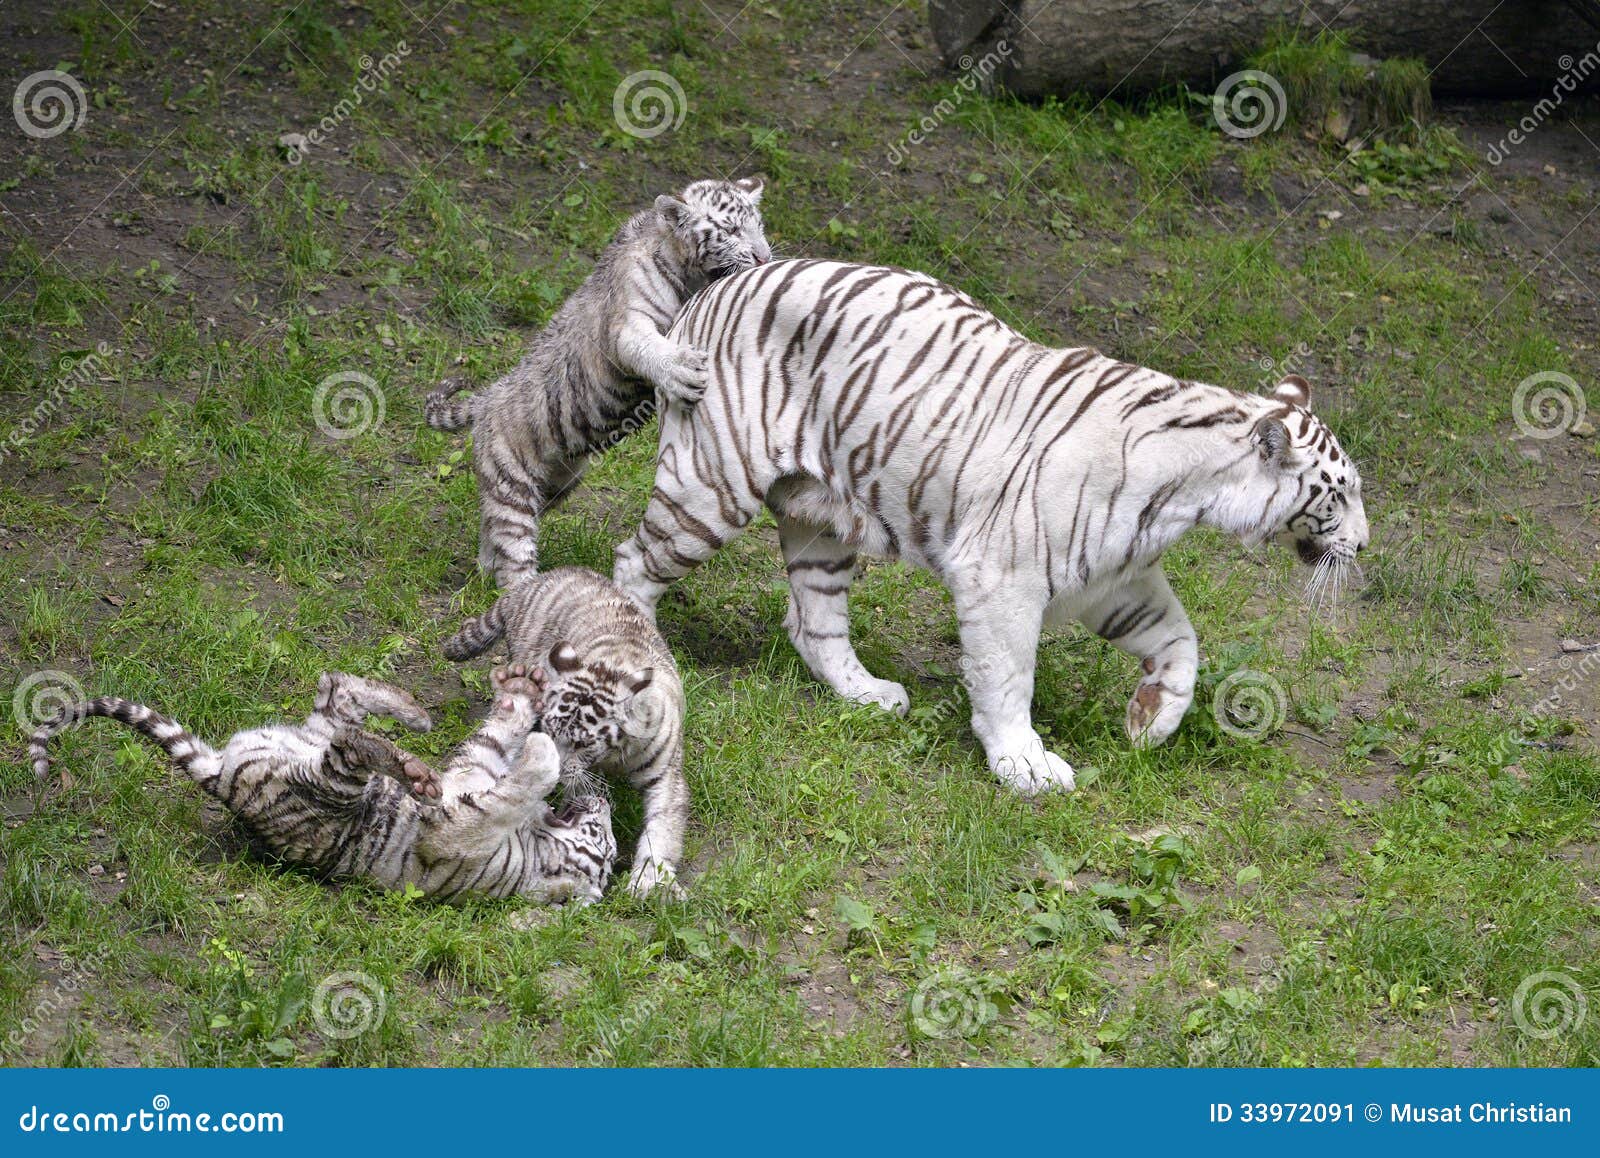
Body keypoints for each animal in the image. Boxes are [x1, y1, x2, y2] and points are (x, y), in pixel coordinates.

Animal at [28, 666, 616, 904]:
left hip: (328, 783)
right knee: (340, 690)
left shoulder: (452, 834)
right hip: (318, 741)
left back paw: (412, 764)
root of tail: (222, 778)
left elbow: (517, 781)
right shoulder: (476, 775)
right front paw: (526, 697)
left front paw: (544, 752)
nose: (600, 799)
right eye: (606, 833)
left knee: (351, 737)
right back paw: (414, 715)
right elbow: (497, 740)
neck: (534, 841)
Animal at [426, 176, 772, 588]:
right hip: (513, 484)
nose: (765, 258)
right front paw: (682, 371)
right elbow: (650, 349)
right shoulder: (628, 326)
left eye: (759, 227)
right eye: (732, 231)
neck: (690, 271)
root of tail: (487, 397)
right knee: (512, 548)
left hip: (560, 480)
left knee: (490, 525)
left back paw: (484, 568)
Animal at [442, 566, 687, 899]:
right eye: (549, 730)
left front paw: (651, 881)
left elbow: (663, 826)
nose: (557, 776)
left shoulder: (665, 774)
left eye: (582, 744)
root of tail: (537, 581)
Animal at [611, 259, 1369, 794]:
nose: (1363, 544)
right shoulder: (1005, 577)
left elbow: (1183, 643)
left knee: (811, 620)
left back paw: (868, 695)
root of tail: (710, 295)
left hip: (822, 516)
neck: (1190, 495)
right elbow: (1008, 678)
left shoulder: (1114, 582)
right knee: (631, 565)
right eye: (1341, 494)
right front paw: (1024, 767)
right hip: (708, 490)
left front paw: (1151, 723)